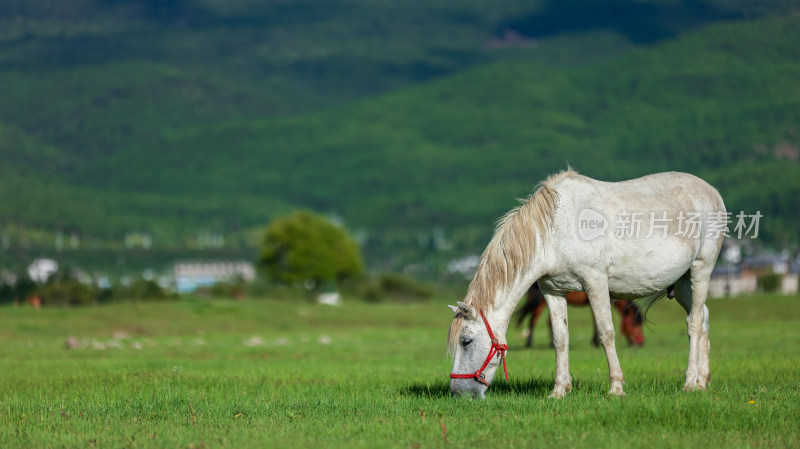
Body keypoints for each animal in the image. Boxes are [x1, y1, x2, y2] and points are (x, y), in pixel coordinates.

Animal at [516, 282, 648, 348]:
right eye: (633, 323)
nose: (641, 343)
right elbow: (595, 321)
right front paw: (595, 342)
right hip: (541, 300)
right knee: (533, 320)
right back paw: (529, 344)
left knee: (547, 321)